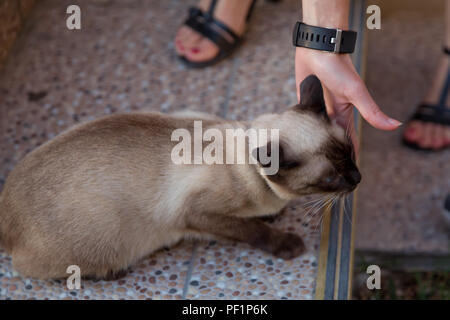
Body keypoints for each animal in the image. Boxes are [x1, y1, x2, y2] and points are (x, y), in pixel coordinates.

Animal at [0, 74, 360, 278]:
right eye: (331, 180)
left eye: (351, 154)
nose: (357, 179)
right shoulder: (195, 213)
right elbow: (252, 229)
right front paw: (284, 241)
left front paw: (273, 214)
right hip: (102, 231)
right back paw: (111, 274)